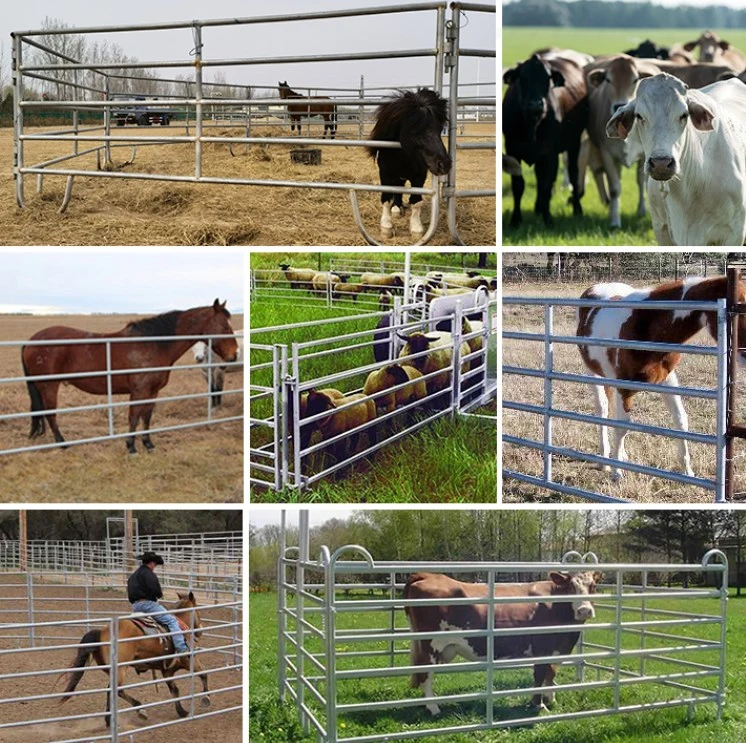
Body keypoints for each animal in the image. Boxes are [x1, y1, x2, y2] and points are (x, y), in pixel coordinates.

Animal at [21, 300, 238, 454]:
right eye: (224, 327)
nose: (234, 355)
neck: (154, 344)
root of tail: (31, 341)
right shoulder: (139, 391)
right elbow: (134, 417)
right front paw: (131, 446)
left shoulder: (152, 392)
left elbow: (146, 416)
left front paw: (148, 444)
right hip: (49, 386)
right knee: (50, 413)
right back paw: (62, 443)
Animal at [58, 592, 208, 728]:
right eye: (198, 610)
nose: (200, 630)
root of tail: (102, 632)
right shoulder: (189, 660)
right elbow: (203, 674)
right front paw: (206, 699)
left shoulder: (167, 671)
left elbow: (175, 690)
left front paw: (182, 711)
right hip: (120, 668)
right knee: (117, 690)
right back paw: (138, 710)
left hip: (112, 669)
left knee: (111, 690)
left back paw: (111, 720)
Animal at [402, 568, 600, 716]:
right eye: (570, 586)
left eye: (593, 585)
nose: (584, 610)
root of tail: (430, 575)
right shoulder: (541, 648)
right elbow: (539, 675)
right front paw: (538, 704)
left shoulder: (555, 650)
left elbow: (551, 674)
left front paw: (552, 700)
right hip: (430, 646)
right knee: (425, 674)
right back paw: (434, 707)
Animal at [500, 54, 588, 227]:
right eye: (522, 78)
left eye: (547, 79)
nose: (535, 104)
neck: (532, 125)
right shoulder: (512, 150)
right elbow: (518, 186)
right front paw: (515, 219)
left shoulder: (549, 153)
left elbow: (546, 185)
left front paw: (548, 220)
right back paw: (538, 208)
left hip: (574, 143)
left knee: (573, 174)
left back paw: (577, 209)